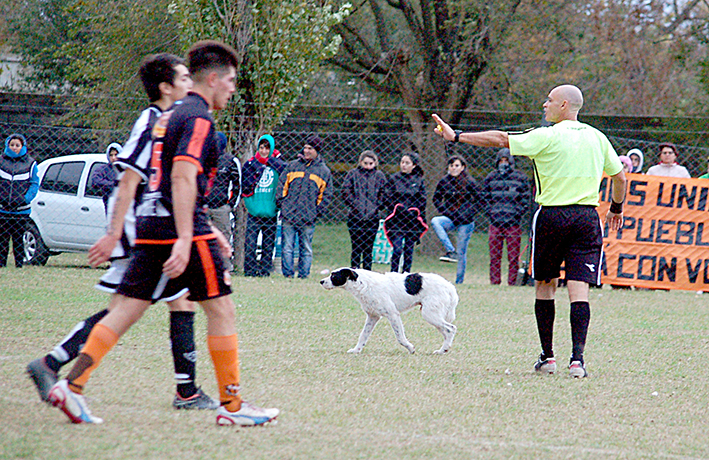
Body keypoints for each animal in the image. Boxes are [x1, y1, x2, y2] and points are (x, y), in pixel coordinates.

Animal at [320, 268, 460, 354]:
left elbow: (400, 337)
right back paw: (443, 350)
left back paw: (443, 349)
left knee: (451, 329)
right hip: (433, 316)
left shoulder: (393, 314)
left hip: (430, 315)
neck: (363, 284)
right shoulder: (373, 317)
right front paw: (356, 350)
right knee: (447, 332)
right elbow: (363, 336)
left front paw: (411, 348)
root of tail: (449, 286)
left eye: (333, 275)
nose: (321, 281)